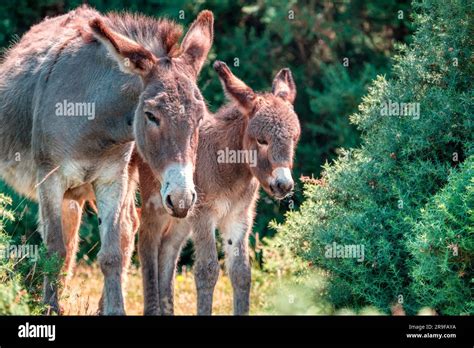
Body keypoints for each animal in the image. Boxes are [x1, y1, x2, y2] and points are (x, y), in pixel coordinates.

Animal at [139, 61, 298, 314]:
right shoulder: (204, 215)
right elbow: (207, 271)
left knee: (167, 249)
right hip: (156, 205)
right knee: (145, 243)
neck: (228, 168)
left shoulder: (239, 216)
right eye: (262, 140)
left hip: (181, 215)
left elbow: (241, 273)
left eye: (294, 138)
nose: (284, 185)